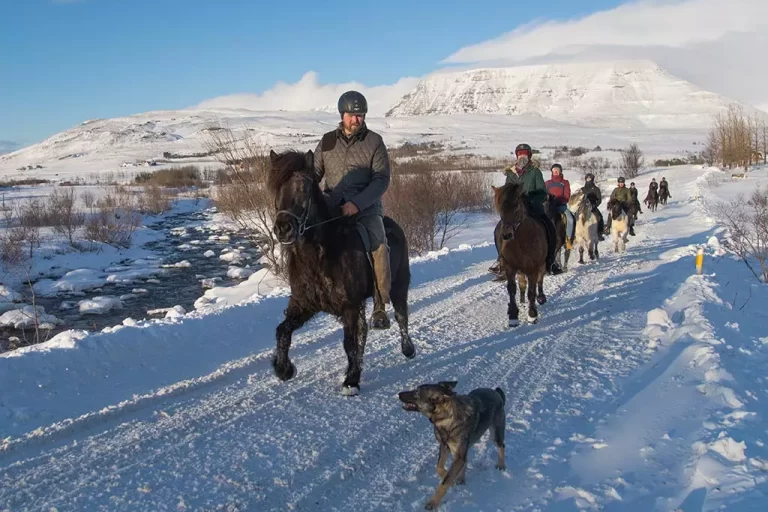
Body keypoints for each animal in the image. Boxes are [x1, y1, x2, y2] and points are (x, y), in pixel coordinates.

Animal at [268, 148, 414, 396]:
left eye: (304, 187)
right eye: (275, 187)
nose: (283, 228)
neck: (320, 255)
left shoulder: (350, 306)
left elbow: (349, 343)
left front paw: (351, 381)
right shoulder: (303, 304)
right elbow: (282, 331)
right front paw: (284, 369)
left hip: (398, 285)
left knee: (401, 316)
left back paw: (408, 349)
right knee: (364, 331)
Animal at [400, 380, 508, 508]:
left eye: (416, 393)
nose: (399, 394)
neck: (447, 418)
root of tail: (496, 393)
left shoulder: (457, 453)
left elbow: (445, 480)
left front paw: (433, 502)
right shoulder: (444, 447)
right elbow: (439, 467)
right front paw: (448, 474)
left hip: (495, 433)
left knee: (501, 446)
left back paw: (501, 465)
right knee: (465, 460)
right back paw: (460, 478)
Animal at [492, 184, 544, 328]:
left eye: (516, 205)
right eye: (499, 207)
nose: (506, 235)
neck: (522, 240)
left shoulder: (533, 268)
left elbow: (532, 290)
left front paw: (532, 314)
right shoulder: (509, 267)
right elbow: (512, 289)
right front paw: (513, 315)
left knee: (540, 280)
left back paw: (541, 297)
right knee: (522, 284)